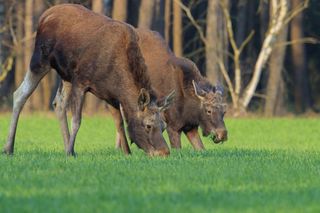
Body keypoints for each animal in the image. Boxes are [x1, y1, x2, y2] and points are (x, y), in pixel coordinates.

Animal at [3, 3, 175, 156]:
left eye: (164, 126)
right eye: (148, 125)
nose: (164, 152)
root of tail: (44, 15)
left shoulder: (110, 94)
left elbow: (119, 123)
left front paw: (127, 152)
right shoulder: (81, 82)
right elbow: (77, 120)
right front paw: (70, 151)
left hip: (66, 75)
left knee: (58, 103)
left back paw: (67, 147)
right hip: (40, 59)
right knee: (20, 94)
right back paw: (9, 148)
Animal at [53, 27, 228, 151]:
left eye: (224, 111)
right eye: (208, 110)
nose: (223, 134)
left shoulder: (190, 127)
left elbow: (201, 149)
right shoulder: (173, 126)